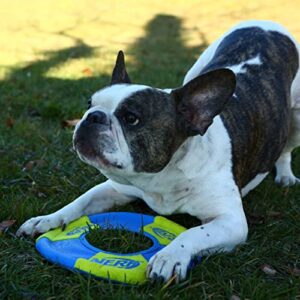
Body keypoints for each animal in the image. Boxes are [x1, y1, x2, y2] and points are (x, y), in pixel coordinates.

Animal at [17, 19, 300, 282]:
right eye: (89, 103)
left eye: (131, 118)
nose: (92, 117)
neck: (161, 176)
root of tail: (267, 25)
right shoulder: (115, 188)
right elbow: (80, 202)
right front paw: (47, 220)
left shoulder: (230, 222)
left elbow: (194, 233)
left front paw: (170, 256)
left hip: (295, 118)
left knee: (286, 149)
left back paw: (285, 176)